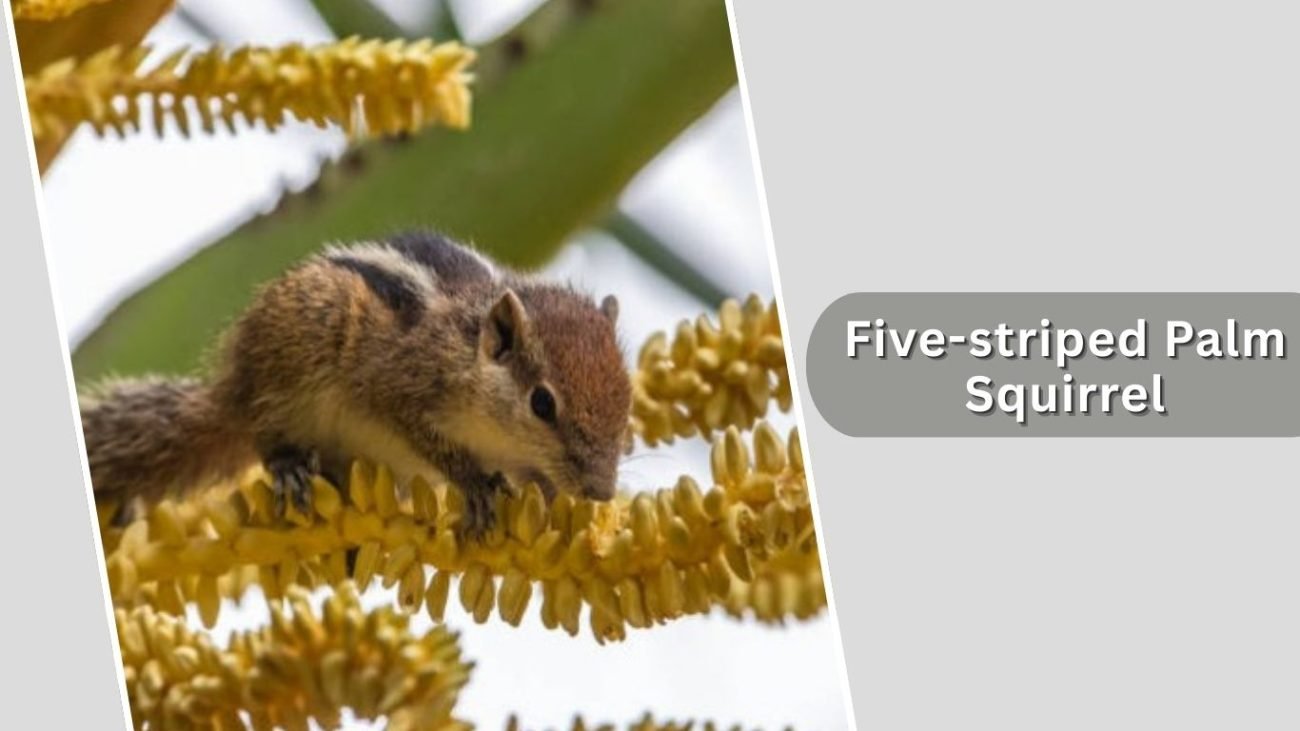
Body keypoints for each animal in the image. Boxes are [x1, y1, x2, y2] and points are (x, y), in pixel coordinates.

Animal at [80, 231, 632, 537]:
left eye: (626, 401)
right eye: (542, 403)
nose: (601, 491)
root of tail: (229, 390)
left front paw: (555, 504)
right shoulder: (399, 383)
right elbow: (428, 437)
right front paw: (475, 484)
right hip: (296, 355)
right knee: (264, 430)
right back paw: (289, 467)